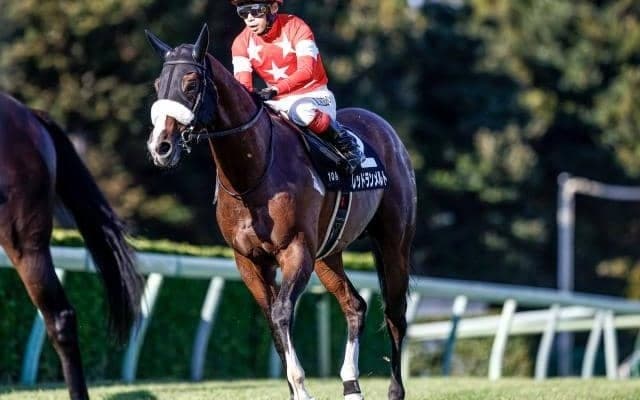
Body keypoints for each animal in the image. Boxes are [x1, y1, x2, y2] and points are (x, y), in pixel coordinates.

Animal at [144, 24, 416, 400]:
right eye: (158, 84)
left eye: (190, 83)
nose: (160, 146)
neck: (253, 173)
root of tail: (387, 131)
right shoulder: (248, 259)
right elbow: (271, 320)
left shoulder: (295, 250)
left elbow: (282, 312)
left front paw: (301, 387)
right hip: (327, 254)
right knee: (354, 304)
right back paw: (350, 384)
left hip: (393, 242)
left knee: (394, 313)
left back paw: (394, 389)